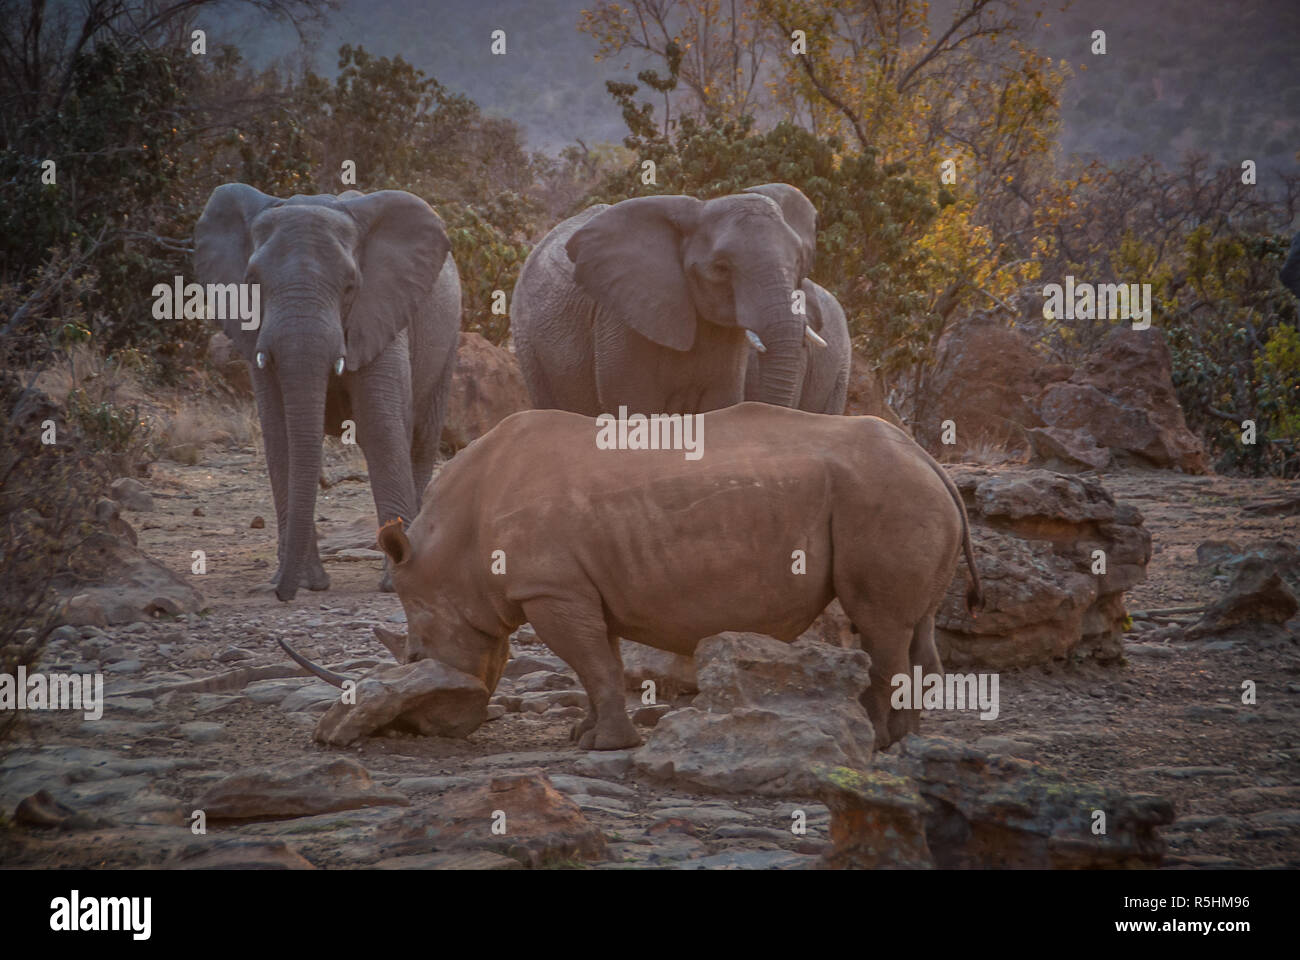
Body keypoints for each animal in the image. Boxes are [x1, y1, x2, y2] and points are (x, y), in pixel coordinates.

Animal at [189, 184, 460, 598]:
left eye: (350, 286)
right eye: (252, 281)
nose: (281, 594)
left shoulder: (380, 316)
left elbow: (381, 426)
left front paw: (393, 584)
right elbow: (282, 434)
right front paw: (305, 582)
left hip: (447, 344)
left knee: (421, 441)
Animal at [279, 403, 977, 749]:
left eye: (416, 653)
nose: (418, 730)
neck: (454, 549)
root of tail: (930, 461)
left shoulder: (550, 589)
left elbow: (590, 664)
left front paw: (604, 748)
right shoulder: (580, 588)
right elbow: (600, 663)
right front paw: (584, 735)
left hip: (887, 494)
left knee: (880, 624)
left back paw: (879, 743)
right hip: (902, 494)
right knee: (910, 626)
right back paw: (900, 741)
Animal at [512, 183, 826, 416]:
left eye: (799, 261)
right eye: (721, 268)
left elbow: (722, 401)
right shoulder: (621, 317)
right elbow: (634, 405)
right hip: (529, 344)